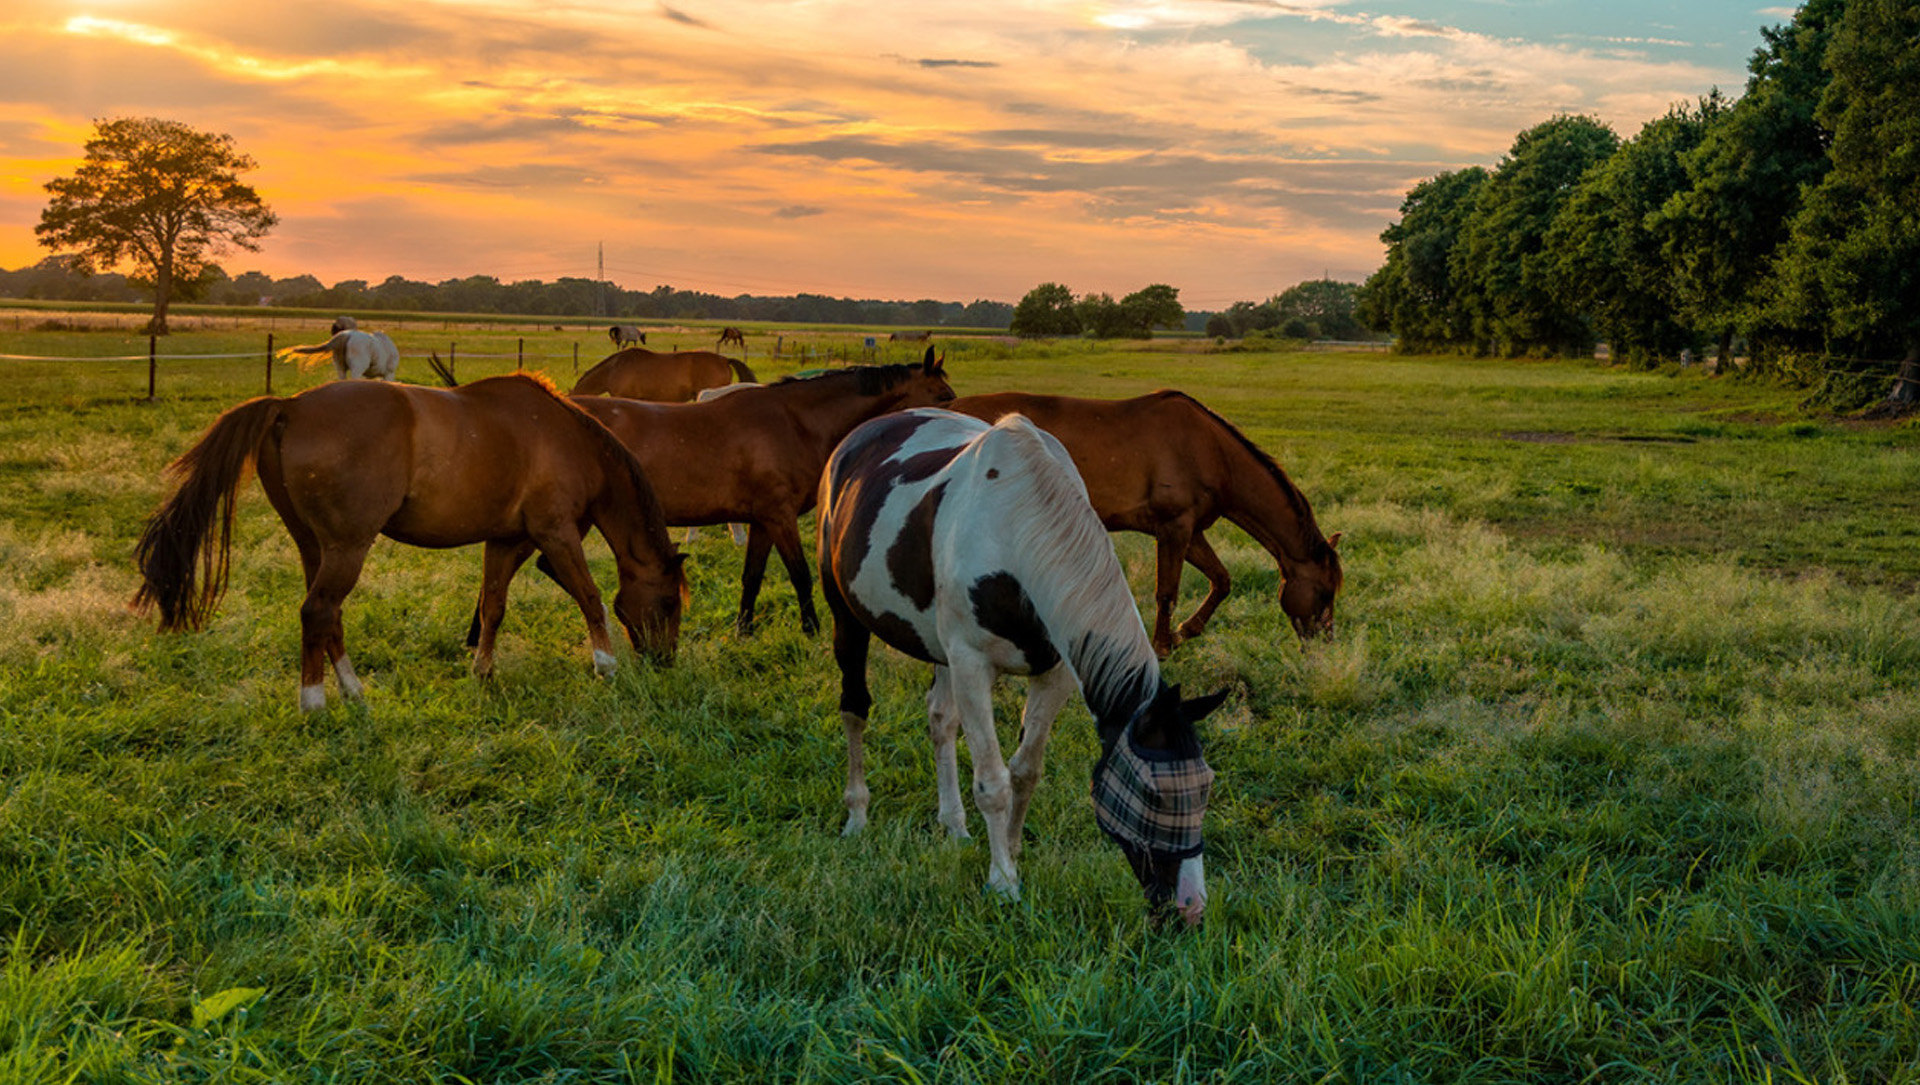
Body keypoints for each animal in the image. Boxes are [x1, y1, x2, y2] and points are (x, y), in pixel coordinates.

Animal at [135, 372, 691, 710]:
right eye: (668, 602)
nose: (665, 662)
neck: (567, 438)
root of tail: (288, 406)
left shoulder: (505, 541)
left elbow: (492, 608)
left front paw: (482, 672)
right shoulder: (554, 534)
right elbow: (590, 597)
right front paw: (606, 667)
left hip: (316, 548)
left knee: (328, 617)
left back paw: (354, 693)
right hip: (348, 547)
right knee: (317, 612)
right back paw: (314, 702)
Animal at [817, 407, 1221, 921]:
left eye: (1206, 786)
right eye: (1153, 793)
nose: (1191, 908)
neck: (1014, 528)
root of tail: (857, 437)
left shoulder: (1055, 672)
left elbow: (1025, 771)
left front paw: (1010, 851)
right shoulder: (972, 666)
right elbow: (993, 782)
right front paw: (1003, 882)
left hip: (940, 649)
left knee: (940, 720)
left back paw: (953, 824)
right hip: (847, 616)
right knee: (855, 708)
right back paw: (857, 815)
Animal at [940, 389, 1336, 652]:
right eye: (1326, 592)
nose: (1324, 644)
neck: (1211, 451)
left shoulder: (1190, 532)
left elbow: (1221, 580)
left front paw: (1184, 631)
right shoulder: (1174, 528)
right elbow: (1167, 592)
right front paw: (1162, 645)